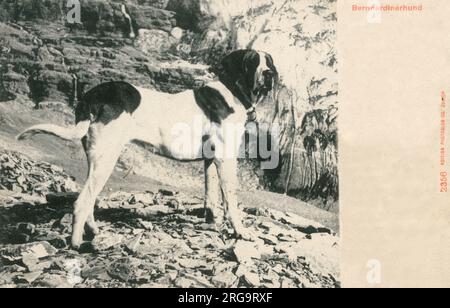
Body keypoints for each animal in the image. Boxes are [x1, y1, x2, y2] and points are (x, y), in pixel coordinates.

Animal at [17, 49, 278, 249]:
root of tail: (93, 94)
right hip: (107, 158)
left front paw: (212, 224)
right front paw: (241, 231)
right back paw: (77, 244)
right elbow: (231, 199)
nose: (269, 74)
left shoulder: (211, 160)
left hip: (98, 159)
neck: (233, 91)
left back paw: (92, 231)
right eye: (252, 61)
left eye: (269, 61)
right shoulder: (225, 158)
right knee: (82, 202)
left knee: (89, 197)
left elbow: (211, 196)